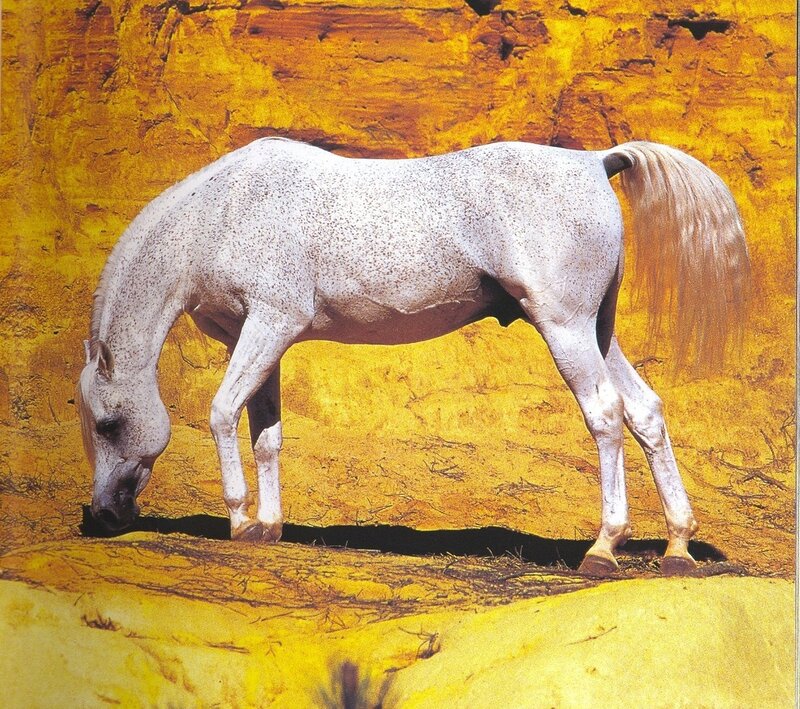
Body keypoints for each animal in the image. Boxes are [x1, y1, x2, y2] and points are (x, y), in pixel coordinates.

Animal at [77, 137, 749, 576]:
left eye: (108, 423)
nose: (102, 515)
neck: (223, 212)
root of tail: (593, 161)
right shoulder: (263, 340)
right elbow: (266, 435)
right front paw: (268, 526)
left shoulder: (269, 325)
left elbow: (221, 413)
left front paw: (240, 523)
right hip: (596, 332)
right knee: (645, 412)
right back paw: (678, 547)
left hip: (565, 330)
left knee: (606, 416)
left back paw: (604, 547)